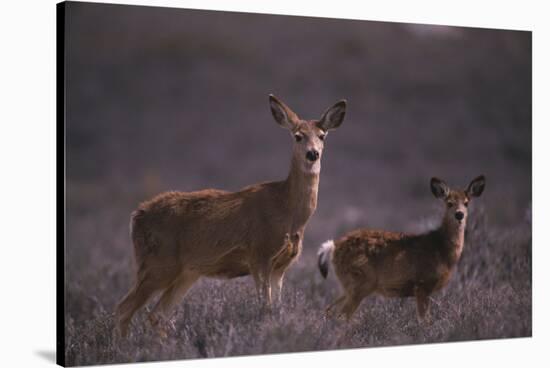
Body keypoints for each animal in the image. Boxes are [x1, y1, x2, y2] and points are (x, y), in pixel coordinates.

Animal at [116, 94, 348, 336]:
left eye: (322, 135)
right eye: (298, 136)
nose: (313, 153)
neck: (287, 212)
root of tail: (136, 216)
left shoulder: (280, 266)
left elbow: (277, 309)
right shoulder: (259, 255)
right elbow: (265, 309)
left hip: (186, 272)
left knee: (156, 314)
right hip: (158, 262)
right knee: (124, 309)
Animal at [320, 175, 488, 322]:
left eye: (466, 202)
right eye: (449, 203)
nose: (459, 215)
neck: (441, 249)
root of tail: (334, 246)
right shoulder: (422, 284)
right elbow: (424, 321)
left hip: (348, 284)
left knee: (329, 309)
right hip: (360, 281)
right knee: (341, 316)